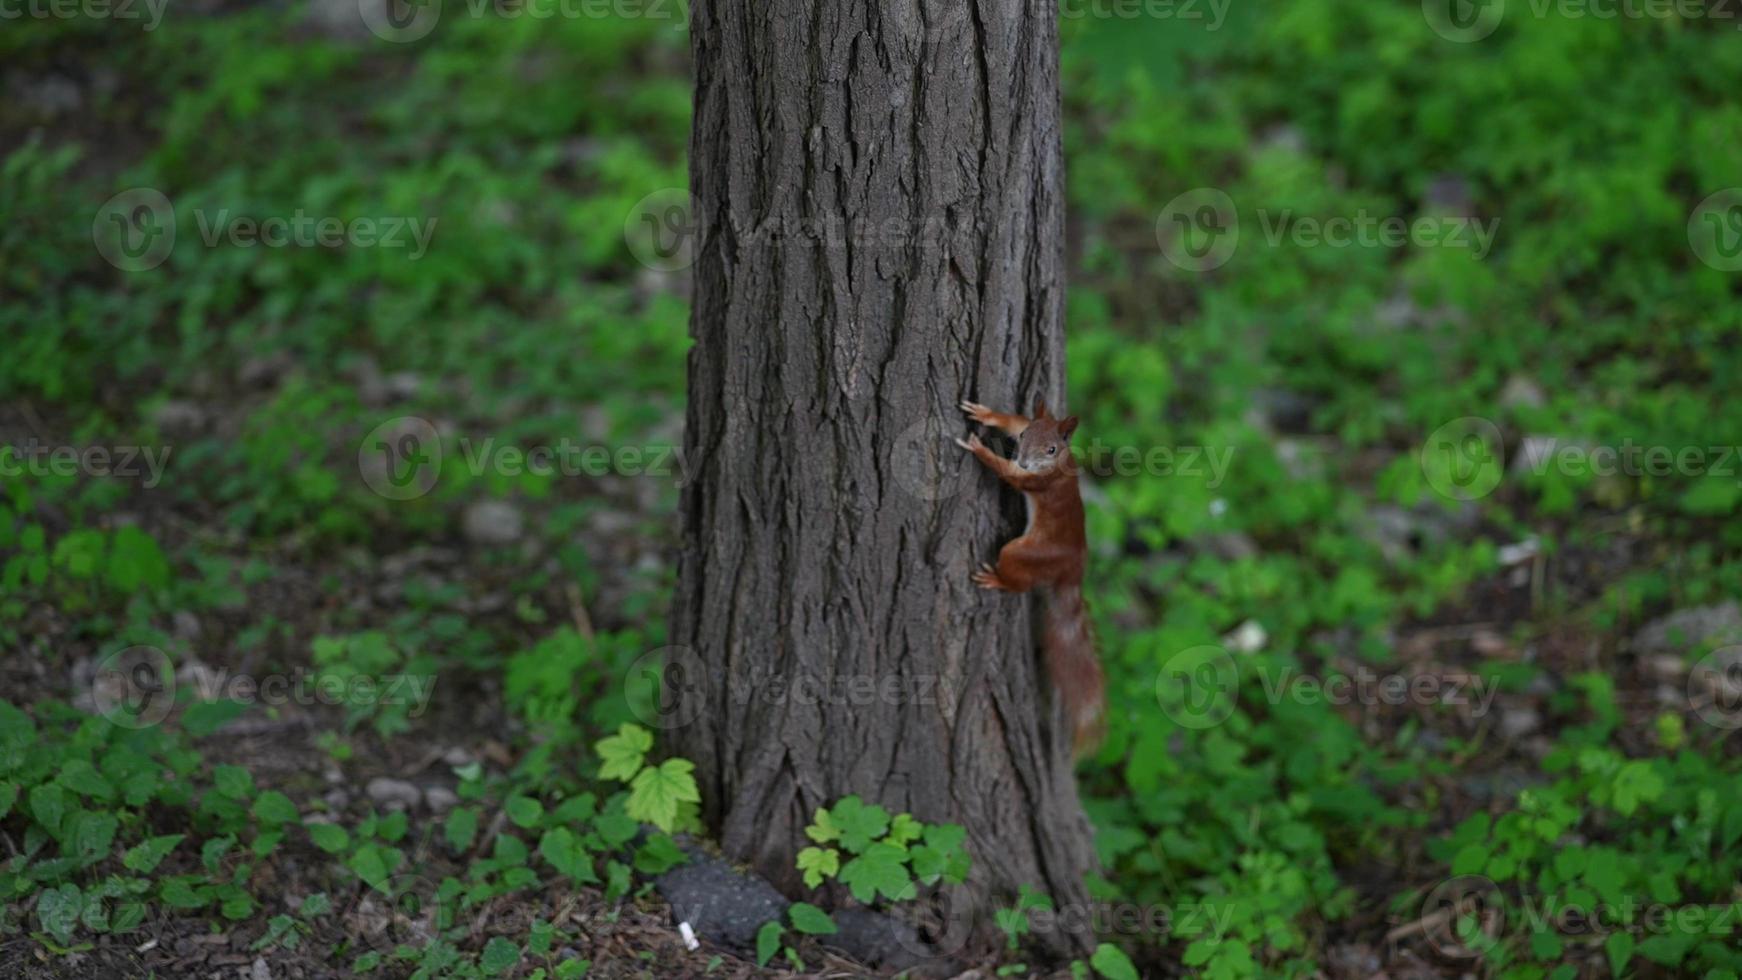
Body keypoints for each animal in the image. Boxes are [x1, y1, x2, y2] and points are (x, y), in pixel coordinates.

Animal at [954, 395, 1100, 755]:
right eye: (1024, 437)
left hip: (1024, 554)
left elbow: (1008, 474)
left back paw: (997, 580)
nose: (1022, 458)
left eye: (1051, 449)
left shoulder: (1034, 480)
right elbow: (1015, 419)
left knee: (1019, 581)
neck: (1059, 464)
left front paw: (979, 448)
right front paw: (985, 414)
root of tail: (1072, 571)